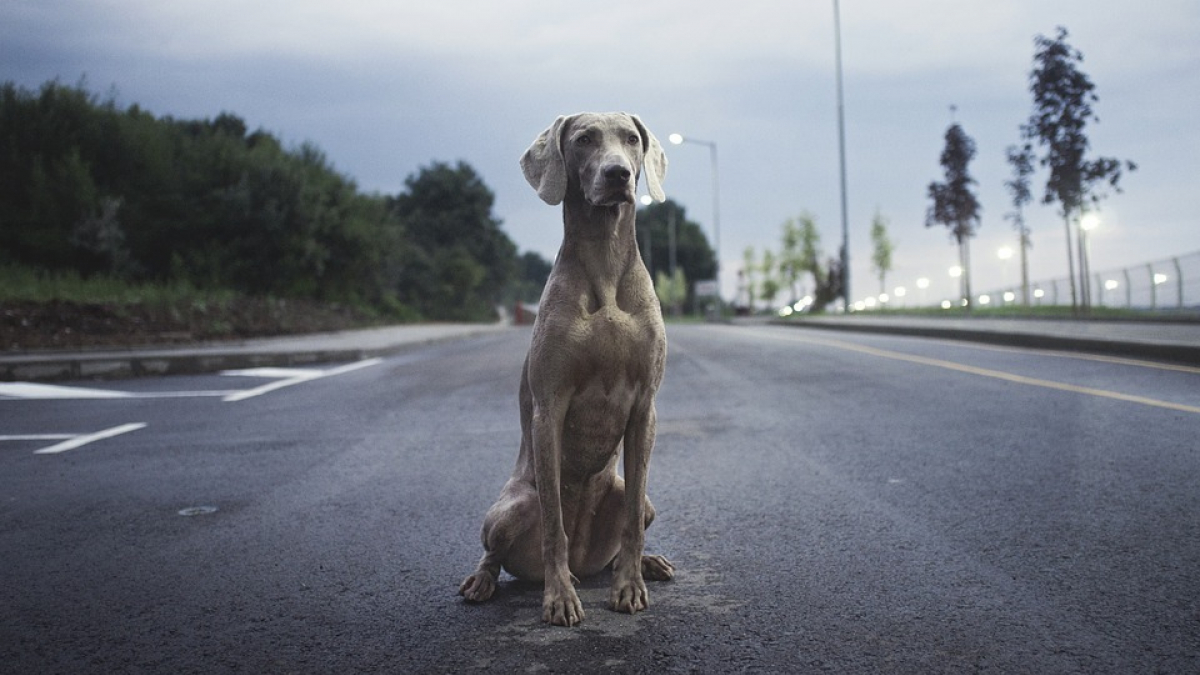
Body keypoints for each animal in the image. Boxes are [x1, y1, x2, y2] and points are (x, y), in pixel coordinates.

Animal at [458, 111, 676, 624]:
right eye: (584, 140)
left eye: (632, 139)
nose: (618, 174)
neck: (605, 262)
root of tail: (583, 561)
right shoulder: (549, 407)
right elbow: (553, 522)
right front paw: (558, 598)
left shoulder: (645, 408)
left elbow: (633, 521)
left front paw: (629, 587)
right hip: (511, 507)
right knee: (496, 550)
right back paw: (486, 581)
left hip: (632, 496)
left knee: (633, 516)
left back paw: (647, 563)